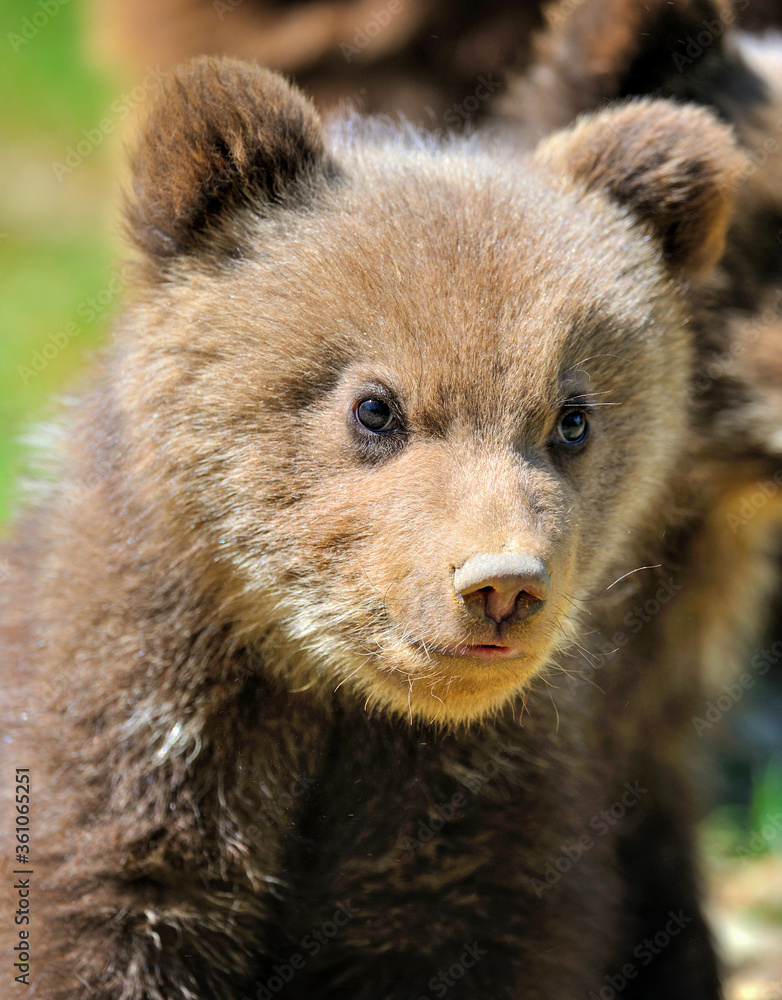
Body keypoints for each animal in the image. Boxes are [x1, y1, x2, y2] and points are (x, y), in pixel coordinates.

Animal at [0, 56, 758, 999]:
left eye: (572, 417)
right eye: (375, 407)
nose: (502, 584)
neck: (332, 701)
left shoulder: (479, 833)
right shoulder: (131, 763)